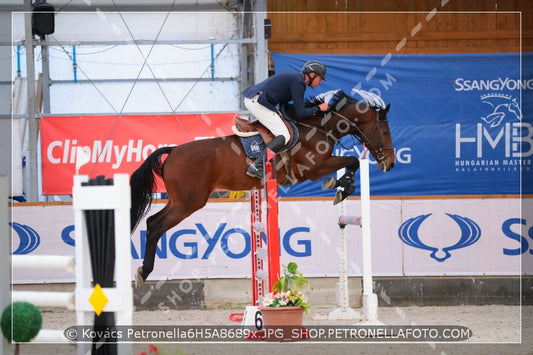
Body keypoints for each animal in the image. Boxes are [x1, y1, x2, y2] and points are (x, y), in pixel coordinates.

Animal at [130, 89, 394, 286]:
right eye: (384, 130)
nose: (389, 163)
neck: (317, 127)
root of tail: (173, 150)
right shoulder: (314, 168)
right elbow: (352, 161)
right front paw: (341, 186)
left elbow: (351, 163)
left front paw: (340, 187)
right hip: (189, 202)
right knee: (156, 226)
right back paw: (145, 271)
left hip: (178, 201)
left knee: (152, 221)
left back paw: (143, 270)